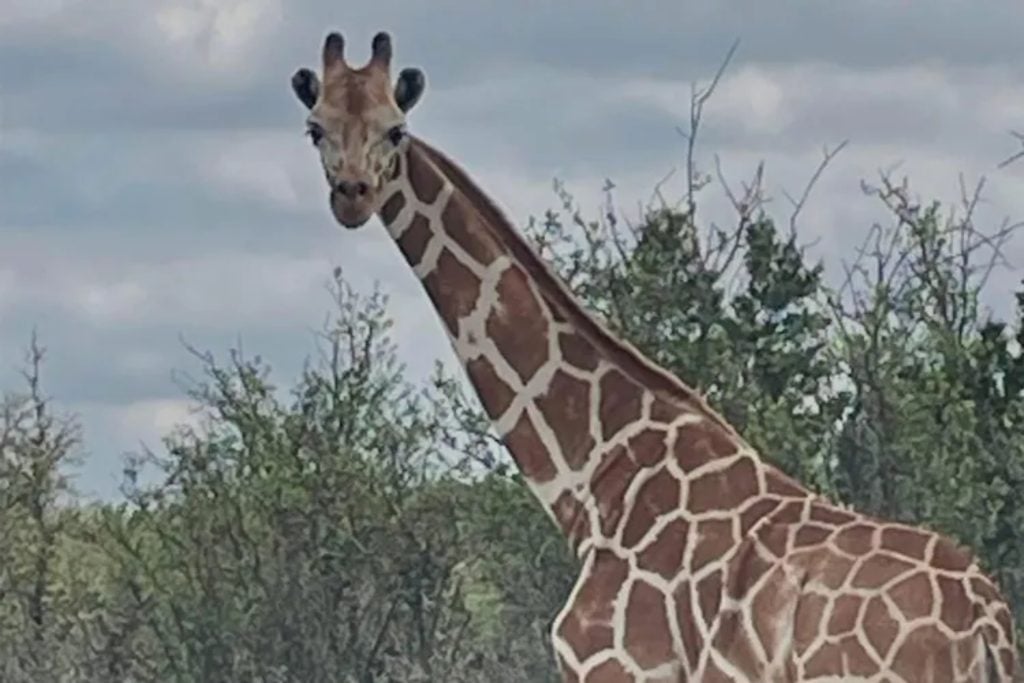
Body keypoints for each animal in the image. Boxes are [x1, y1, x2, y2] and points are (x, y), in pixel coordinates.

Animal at [289, 31, 1021, 682]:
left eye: (395, 131)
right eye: (316, 129)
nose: (352, 196)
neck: (594, 477)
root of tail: (986, 625)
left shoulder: (615, 666)